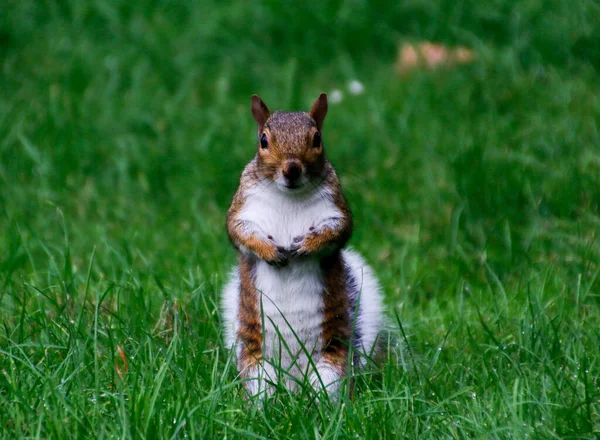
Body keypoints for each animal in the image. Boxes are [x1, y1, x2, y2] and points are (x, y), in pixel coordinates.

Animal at [221, 93, 384, 398]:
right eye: (263, 140)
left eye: (317, 138)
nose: (292, 169)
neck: (288, 196)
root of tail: (293, 386)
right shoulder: (242, 210)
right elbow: (241, 234)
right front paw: (270, 252)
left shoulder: (336, 210)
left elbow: (337, 231)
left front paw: (307, 245)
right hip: (258, 372)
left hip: (330, 371)